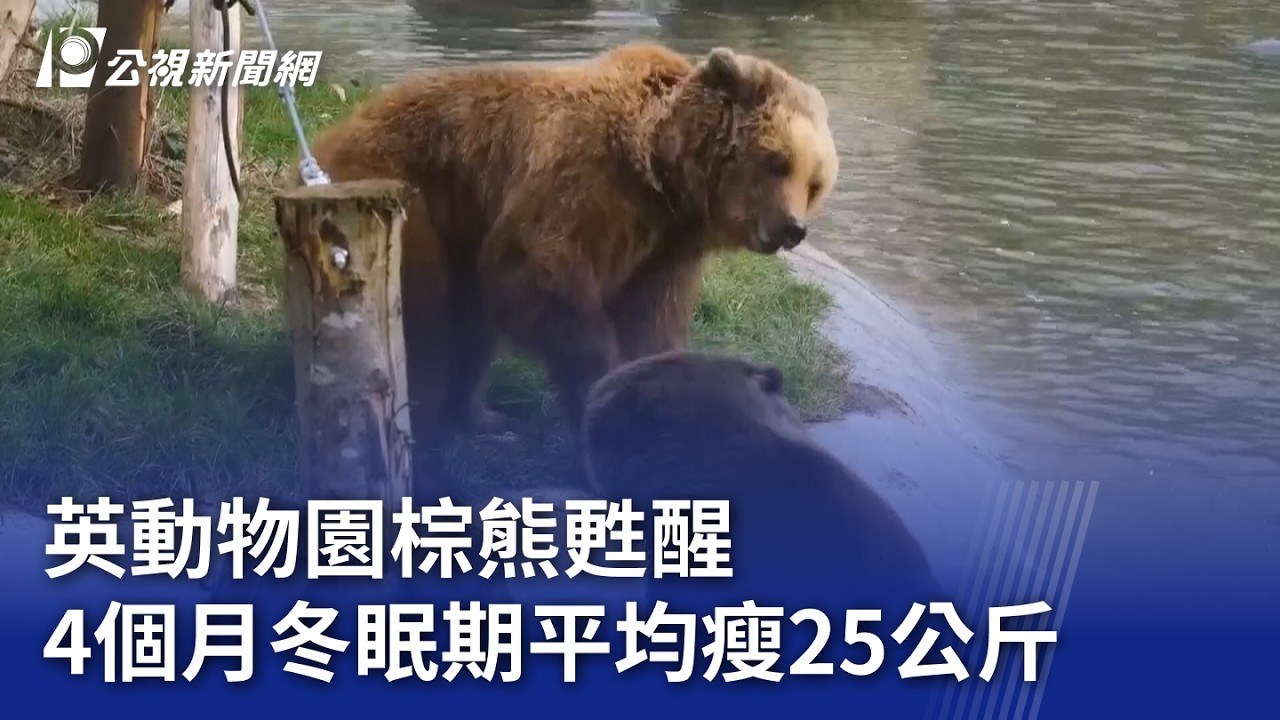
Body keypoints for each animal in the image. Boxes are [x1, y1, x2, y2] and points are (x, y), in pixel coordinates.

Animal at [299, 43, 839, 446]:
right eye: (778, 162)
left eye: (815, 183)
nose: (793, 228)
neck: (663, 177)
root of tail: (330, 139)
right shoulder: (585, 184)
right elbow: (543, 278)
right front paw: (600, 391)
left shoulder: (661, 252)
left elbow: (652, 322)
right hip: (415, 199)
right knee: (428, 315)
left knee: (471, 323)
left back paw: (483, 417)